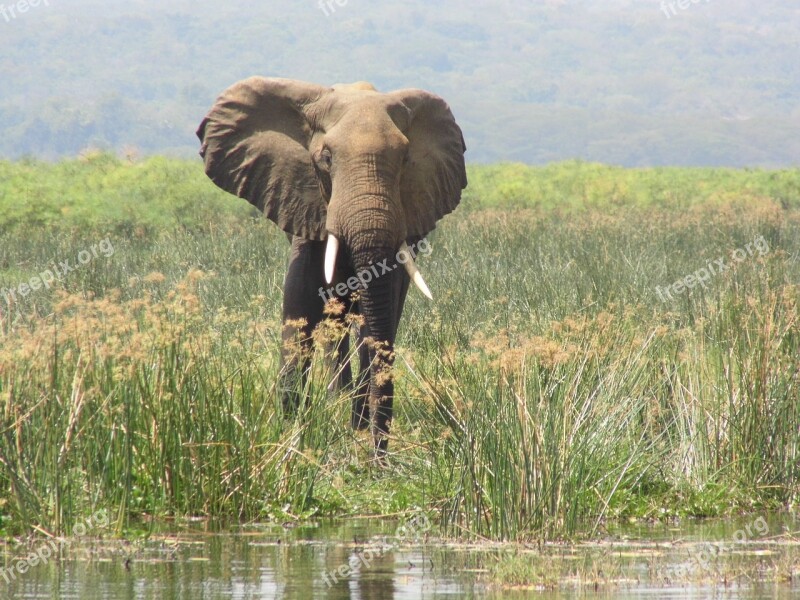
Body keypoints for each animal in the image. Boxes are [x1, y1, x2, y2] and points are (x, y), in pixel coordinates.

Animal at [196, 77, 466, 458]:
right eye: (326, 159)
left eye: (405, 160)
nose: (379, 459)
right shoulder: (305, 204)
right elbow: (299, 306)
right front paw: (292, 430)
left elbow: (376, 317)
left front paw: (355, 427)